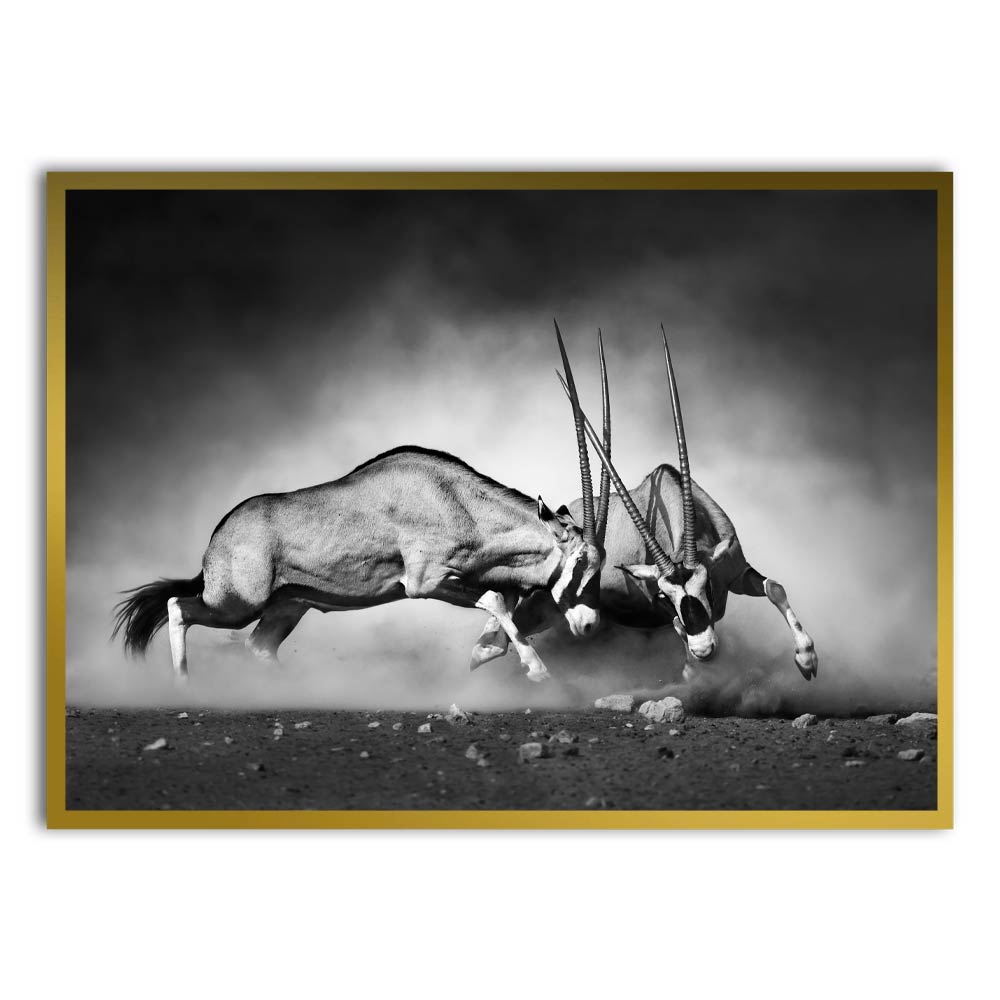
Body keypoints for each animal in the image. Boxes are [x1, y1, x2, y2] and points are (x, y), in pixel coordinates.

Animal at [112, 335, 606, 681]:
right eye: (581, 564)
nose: (590, 625)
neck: (458, 502)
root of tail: (217, 540)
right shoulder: (425, 583)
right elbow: (495, 599)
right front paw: (537, 670)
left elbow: (502, 601)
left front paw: (486, 652)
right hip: (237, 603)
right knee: (178, 606)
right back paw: (184, 685)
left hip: (286, 607)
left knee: (258, 648)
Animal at [471, 325, 819, 682]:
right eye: (665, 595)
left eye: (707, 585)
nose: (704, 650)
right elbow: (679, 627)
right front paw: (693, 672)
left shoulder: (735, 571)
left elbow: (775, 588)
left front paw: (807, 659)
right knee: (491, 645)